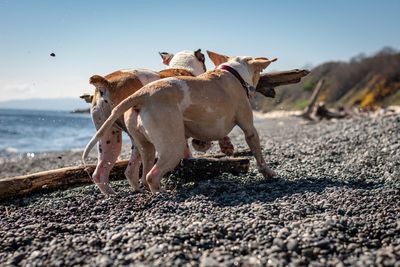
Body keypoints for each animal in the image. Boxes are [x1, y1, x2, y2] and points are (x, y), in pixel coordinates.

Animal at [83, 53, 278, 194]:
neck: (232, 72)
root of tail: (142, 95)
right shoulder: (249, 130)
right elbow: (258, 155)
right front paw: (268, 173)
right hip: (171, 147)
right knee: (151, 176)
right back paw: (162, 194)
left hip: (126, 143)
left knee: (134, 173)